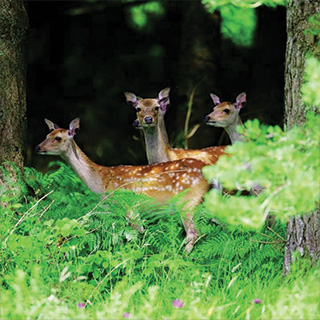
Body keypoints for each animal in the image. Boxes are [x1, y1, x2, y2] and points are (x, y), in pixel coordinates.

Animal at [36, 117, 210, 252]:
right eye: (47, 134)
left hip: (188, 202)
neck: (101, 182)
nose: (38, 147)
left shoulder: (130, 208)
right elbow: (118, 239)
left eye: (58, 138)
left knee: (194, 234)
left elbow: (139, 235)